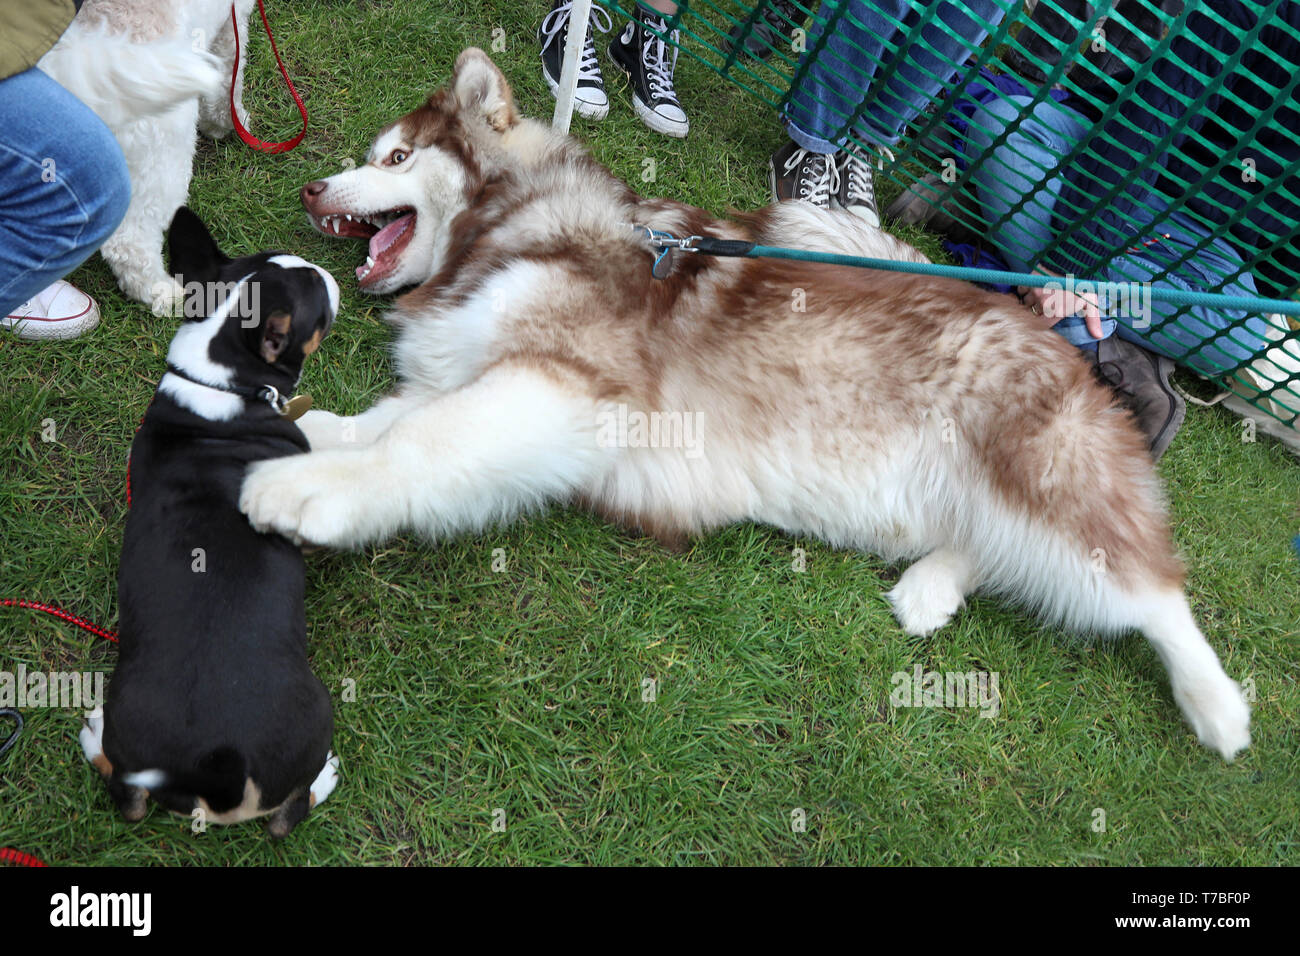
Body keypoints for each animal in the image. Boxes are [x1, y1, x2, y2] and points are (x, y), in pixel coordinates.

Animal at [39, 0, 257, 314]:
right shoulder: (233, 21)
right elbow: (230, 77)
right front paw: (228, 123)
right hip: (162, 163)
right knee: (129, 243)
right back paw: (163, 293)